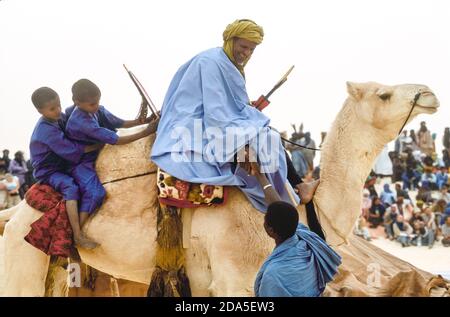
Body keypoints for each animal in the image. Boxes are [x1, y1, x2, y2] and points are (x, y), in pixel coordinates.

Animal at [0, 80, 444, 296]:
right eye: (383, 93)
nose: (428, 93)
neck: (306, 209)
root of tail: (16, 213)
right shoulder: (235, 277)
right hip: (22, 259)